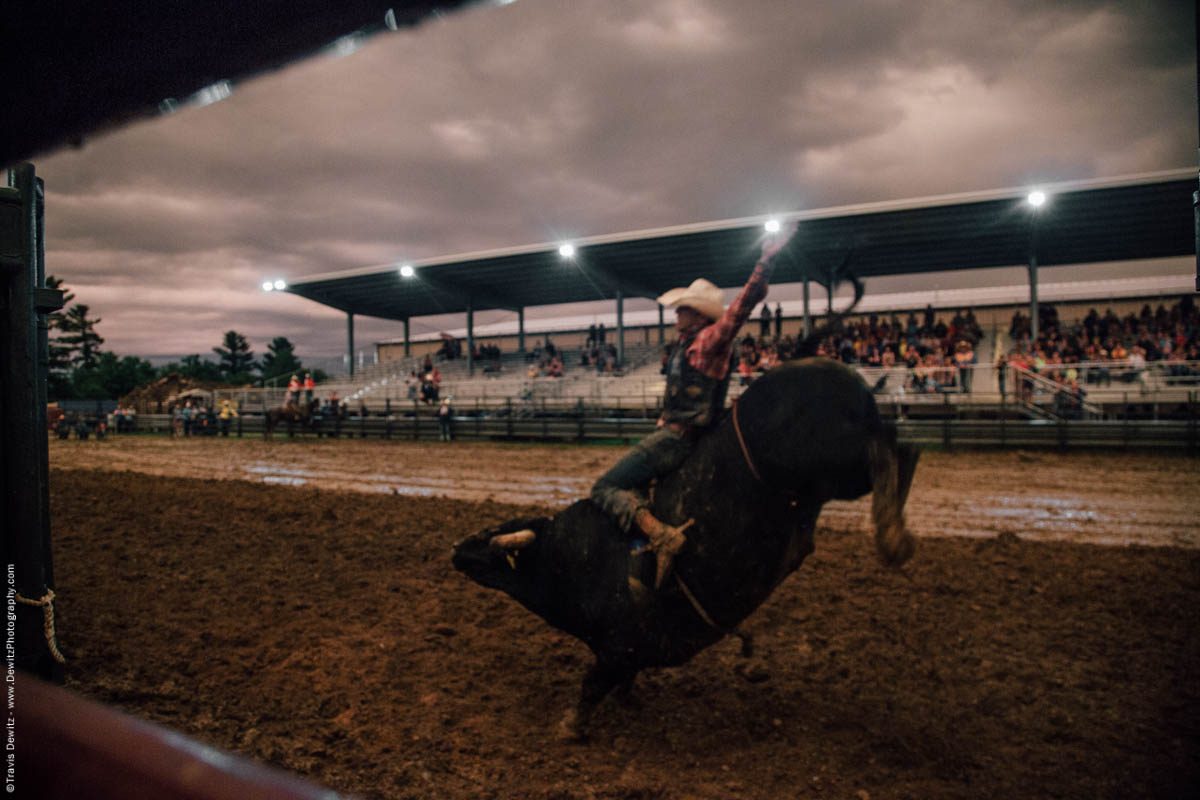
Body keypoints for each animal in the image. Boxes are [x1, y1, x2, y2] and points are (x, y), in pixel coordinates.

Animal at [451, 357, 916, 738]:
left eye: (493, 543)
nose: (456, 548)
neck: (572, 556)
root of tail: (841, 373)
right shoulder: (632, 653)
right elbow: (624, 681)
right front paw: (630, 702)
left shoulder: (617, 646)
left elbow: (592, 684)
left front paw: (570, 726)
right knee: (902, 448)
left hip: (836, 463)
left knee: (887, 450)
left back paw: (892, 534)